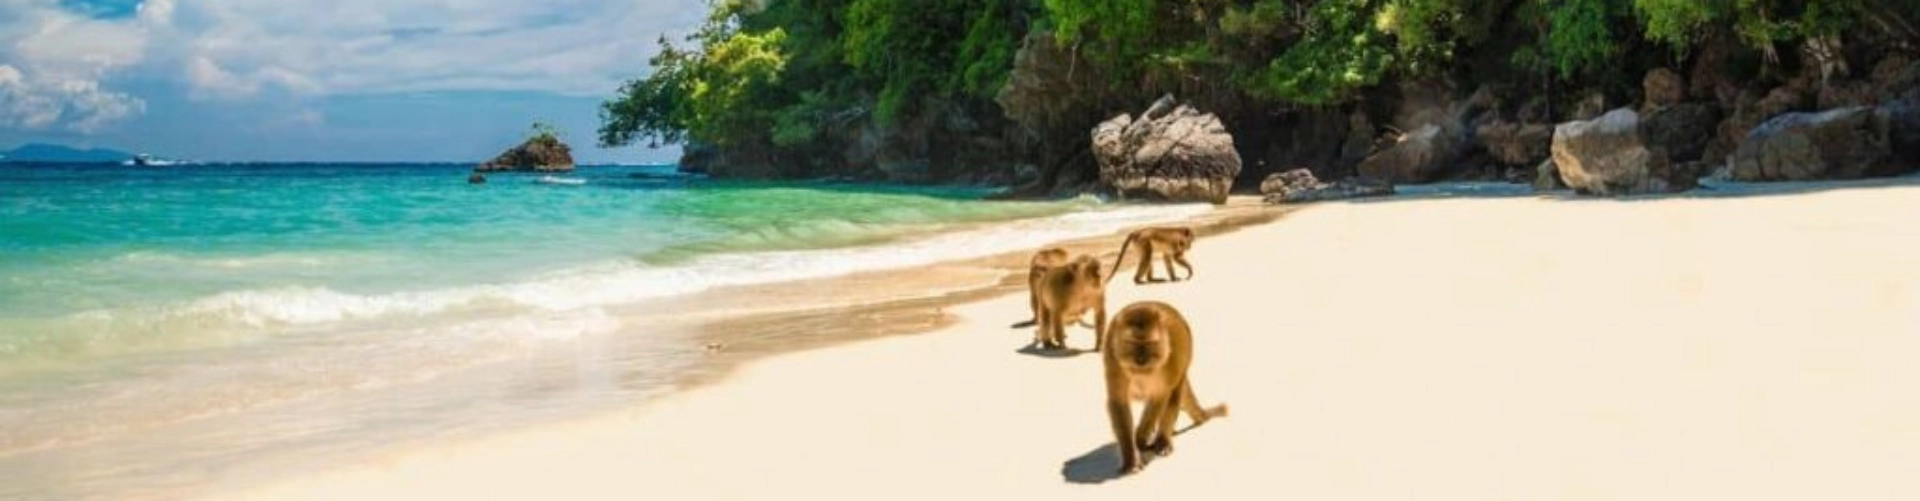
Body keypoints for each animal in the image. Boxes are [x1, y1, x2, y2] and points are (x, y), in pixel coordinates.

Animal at [1102, 301, 1228, 476]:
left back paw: (1162, 441)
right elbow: (1118, 402)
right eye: (1131, 343)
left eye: (1150, 343)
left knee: (1173, 394)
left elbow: (1160, 397)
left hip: (1184, 358)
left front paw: (1141, 436)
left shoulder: (1170, 361)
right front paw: (1131, 459)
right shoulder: (1113, 359)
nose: (1141, 360)